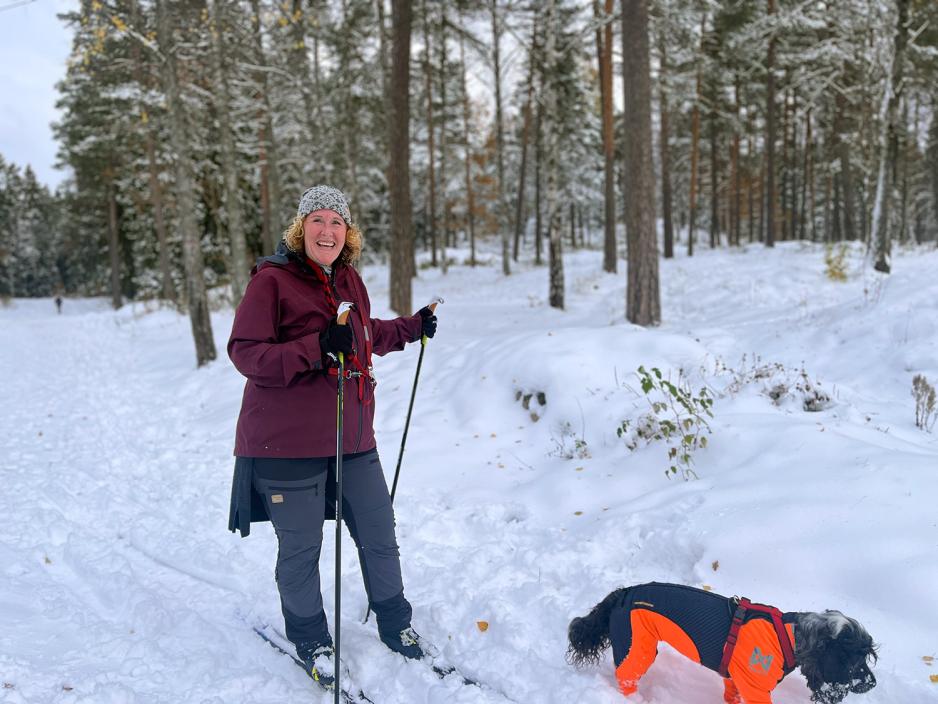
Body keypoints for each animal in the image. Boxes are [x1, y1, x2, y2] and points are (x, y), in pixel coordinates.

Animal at [564, 584, 876, 704]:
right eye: (855, 661)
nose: (871, 684)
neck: (791, 637)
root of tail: (624, 593)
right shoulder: (756, 690)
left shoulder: (736, 681)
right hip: (637, 647)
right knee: (626, 678)